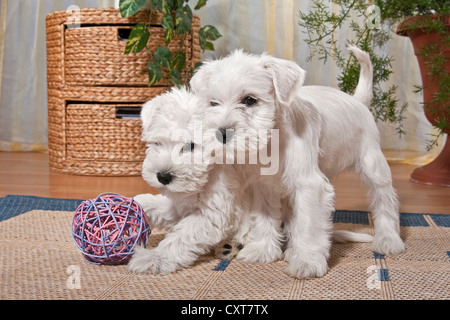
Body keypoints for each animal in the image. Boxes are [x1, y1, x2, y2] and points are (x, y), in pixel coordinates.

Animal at [190, 46, 404, 278]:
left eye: (249, 100)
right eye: (213, 103)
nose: (221, 133)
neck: (273, 140)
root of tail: (357, 100)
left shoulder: (309, 187)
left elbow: (308, 225)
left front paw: (307, 261)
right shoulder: (263, 187)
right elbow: (265, 220)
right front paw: (263, 250)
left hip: (374, 166)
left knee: (385, 201)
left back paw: (388, 240)